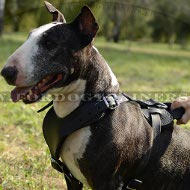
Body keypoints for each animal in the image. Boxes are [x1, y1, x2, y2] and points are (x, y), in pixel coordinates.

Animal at [1, 1, 190, 190]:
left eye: (49, 43)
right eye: (28, 37)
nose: (6, 73)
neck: (92, 108)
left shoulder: (108, 181)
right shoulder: (71, 178)